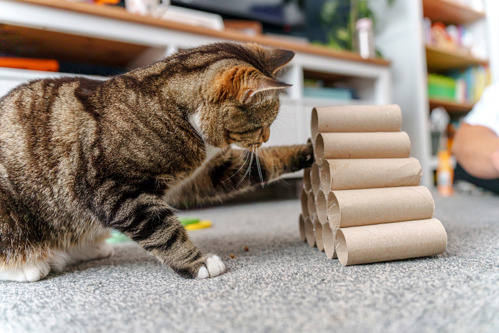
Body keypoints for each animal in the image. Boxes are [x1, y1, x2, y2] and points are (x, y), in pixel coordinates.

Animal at [0, 41, 312, 280]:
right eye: (262, 124)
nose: (267, 137)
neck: (172, 109)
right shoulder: (115, 190)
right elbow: (163, 231)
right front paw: (198, 264)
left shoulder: (203, 173)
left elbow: (263, 164)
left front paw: (307, 150)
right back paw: (30, 266)